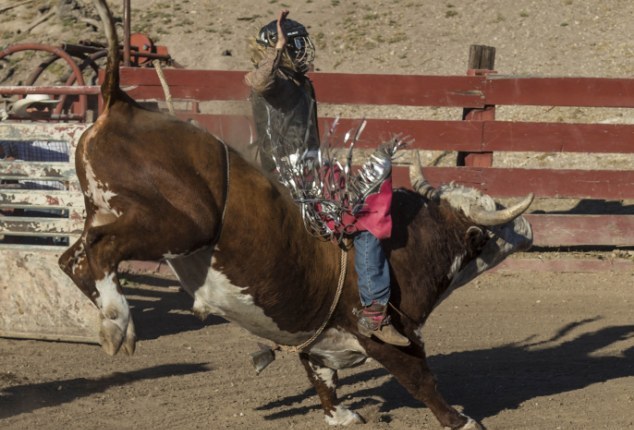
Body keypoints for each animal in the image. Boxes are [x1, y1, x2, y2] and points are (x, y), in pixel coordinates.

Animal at [60, 1, 532, 428]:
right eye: (493, 219)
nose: (527, 226)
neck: (416, 242)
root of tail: (122, 102)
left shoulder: (319, 337)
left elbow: (320, 374)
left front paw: (340, 414)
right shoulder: (390, 335)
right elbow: (418, 376)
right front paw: (460, 419)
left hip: (105, 209)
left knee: (74, 257)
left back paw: (107, 316)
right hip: (185, 224)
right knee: (101, 252)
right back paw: (117, 321)